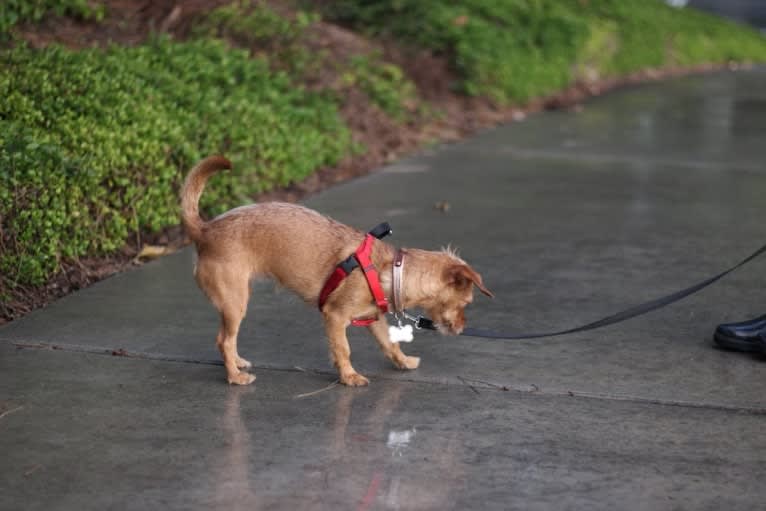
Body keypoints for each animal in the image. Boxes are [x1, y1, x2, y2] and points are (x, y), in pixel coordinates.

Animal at [182, 157, 492, 388]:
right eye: (466, 304)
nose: (463, 328)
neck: (392, 270)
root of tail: (204, 230)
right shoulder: (335, 316)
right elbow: (343, 348)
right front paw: (349, 376)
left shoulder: (374, 319)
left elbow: (389, 344)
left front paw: (403, 362)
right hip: (236, 302)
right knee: (223, 340)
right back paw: (235, 376)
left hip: (235, 301)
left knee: (227, 339)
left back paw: (237, 362)